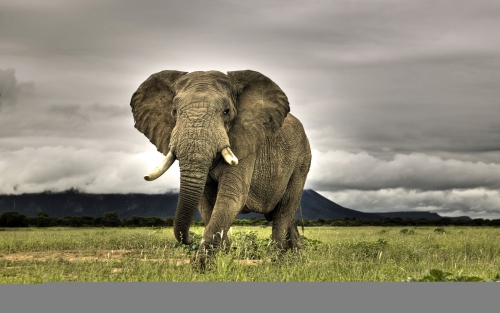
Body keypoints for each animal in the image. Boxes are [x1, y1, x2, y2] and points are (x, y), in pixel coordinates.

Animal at [130, 69, 308, 262]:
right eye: (174, 111)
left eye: (226, 111)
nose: (189, 238)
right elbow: (206, 203)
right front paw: (223, 255)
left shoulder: (246, 142)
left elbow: (231, 196)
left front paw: (203, 264)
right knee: (281, 214)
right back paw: (297, 255)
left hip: (302, 161)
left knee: (285, 208)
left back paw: (276, 259)